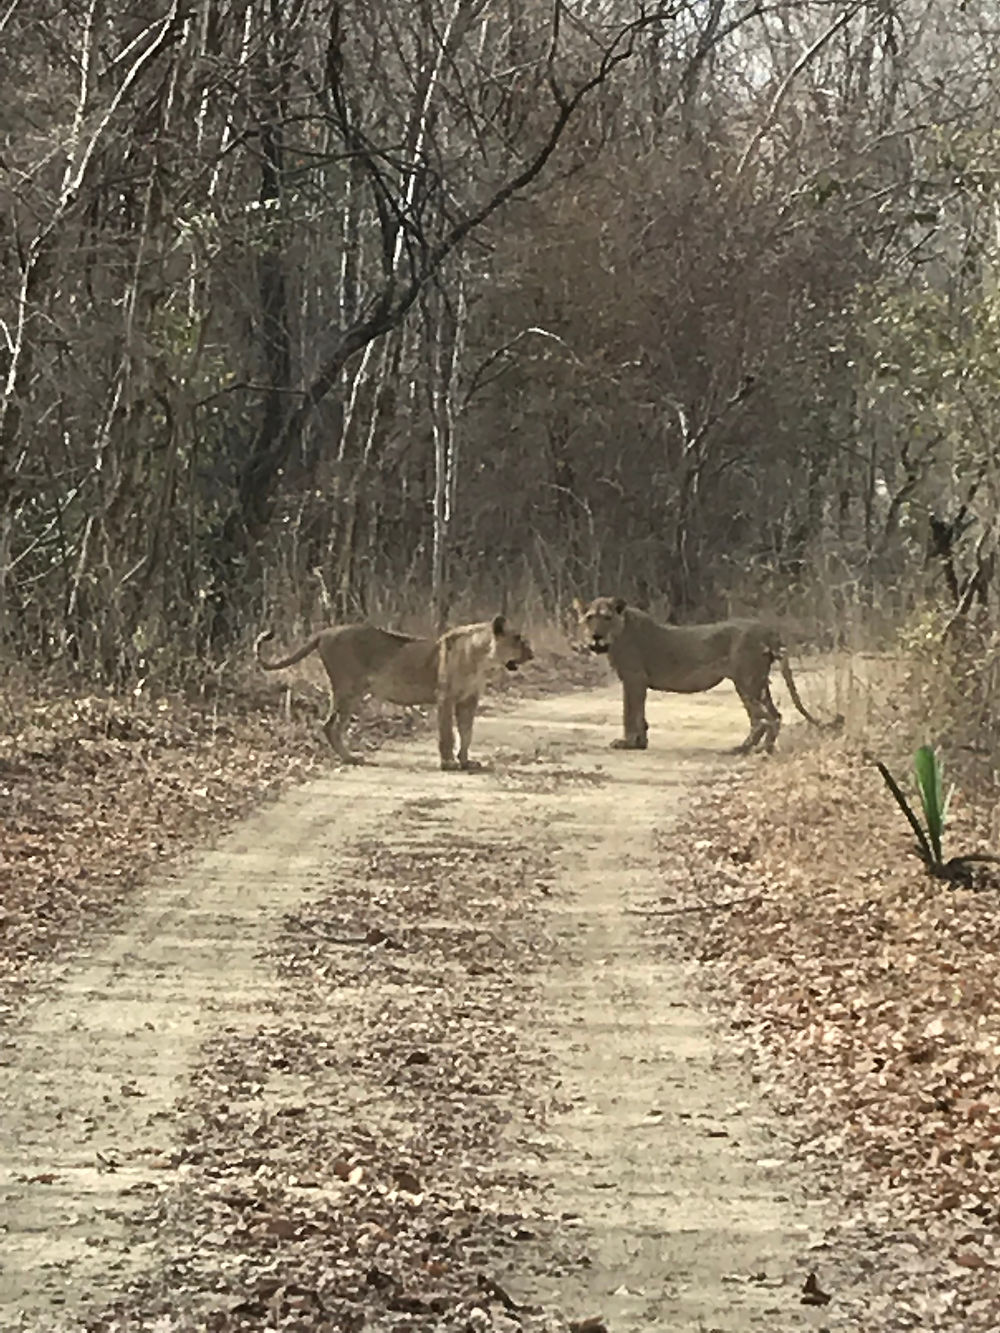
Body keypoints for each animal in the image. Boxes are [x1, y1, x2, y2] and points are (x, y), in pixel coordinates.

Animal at [254, 613, 536, 773]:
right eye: (517, 638)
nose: (532, 654)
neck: (482, 658)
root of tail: (324, 632)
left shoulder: (469, 700)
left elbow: (467, 734)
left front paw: (466, 761)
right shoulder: (445, 698)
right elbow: (447, 734)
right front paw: (449, 764)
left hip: (352, 692)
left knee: (333, 725)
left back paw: (350, 757)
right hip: (347, 688)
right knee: (329, 725)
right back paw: (350, 758)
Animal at [576, 599, 842, 757]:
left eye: (606, 617)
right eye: (589, 618)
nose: (596, 636)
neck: (618, 634)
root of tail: (768, 630)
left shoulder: (634, 679)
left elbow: (629, 713)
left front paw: (628, 743)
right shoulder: (636, 682)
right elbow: (639, 714)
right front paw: (640, 742)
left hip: (746, 680)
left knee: (763, 718)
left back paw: (747, 749)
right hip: (757, 681)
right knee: (773, 715)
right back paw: (759, 748)